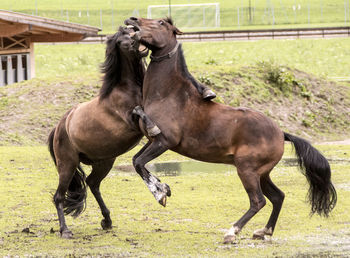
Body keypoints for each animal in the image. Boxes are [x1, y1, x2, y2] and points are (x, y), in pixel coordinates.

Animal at [47, 27, 161, 239]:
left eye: (131, 32)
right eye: (122, 40)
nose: (138, 39)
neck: (128, 88)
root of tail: (60, 126)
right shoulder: (130, 120)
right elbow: (139, 110)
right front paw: (153, 127)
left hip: (104, 161)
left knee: (92, 183)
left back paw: (107, 220)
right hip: (67, 164)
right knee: (59, 196)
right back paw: (65, 230)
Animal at [125, 17, 336, 243]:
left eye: (161, 22)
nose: (132, 20)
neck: (168, 95)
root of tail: (281, 134)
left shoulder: (164, 142)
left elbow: (139, 163)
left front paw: (161, 194)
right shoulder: (152, 142)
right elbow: (136, 161)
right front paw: (163, 188)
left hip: (247, 170)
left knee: (258, 201)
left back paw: (232, 232)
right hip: (262, 173)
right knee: (278, 196)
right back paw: (264, 231)